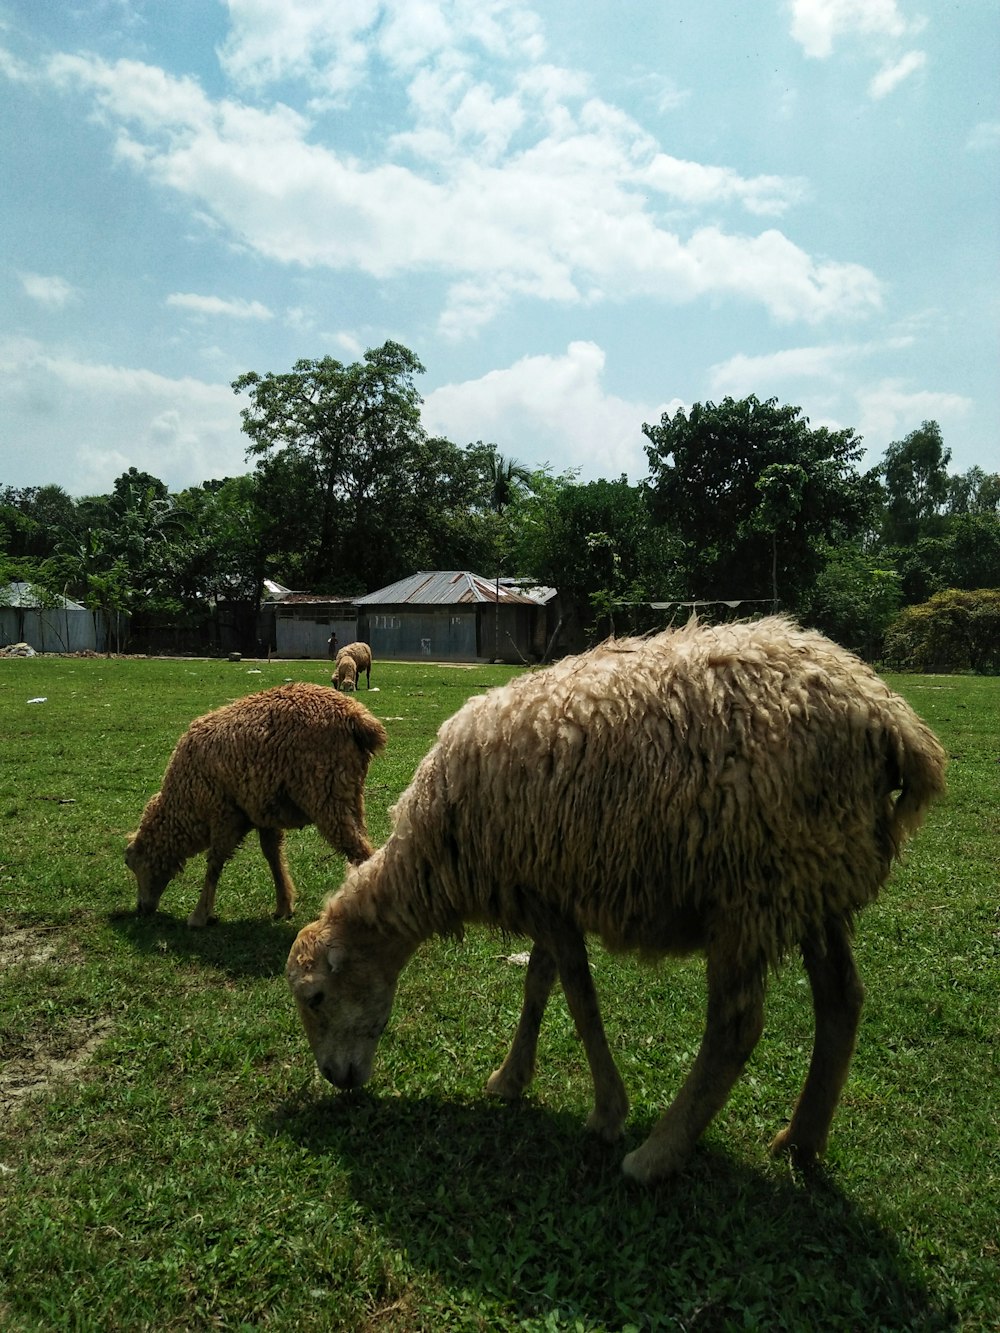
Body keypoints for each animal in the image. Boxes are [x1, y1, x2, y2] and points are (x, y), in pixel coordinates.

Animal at [129, 677, 386, 927]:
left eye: (131, 863)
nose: (141, 909)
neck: (185, 804)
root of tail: (357, 716)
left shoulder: (224, 813)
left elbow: (215, 863)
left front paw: (199, 915)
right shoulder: (261, 811)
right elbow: (272, 854)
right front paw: (284, 905)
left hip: (326, 796)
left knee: (360, 852)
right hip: (349, 796)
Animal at [288, 618, 949, 1183]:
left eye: (316, 997)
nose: (335, 1078)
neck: (436, 855)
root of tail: (888, 716)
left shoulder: (548, 896)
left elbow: (581, 1004)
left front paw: (608, 1114)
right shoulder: (545, 892)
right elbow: (538, 988)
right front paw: (510, 1079)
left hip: (751, 887)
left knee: (736, 1027)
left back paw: (656, 1156)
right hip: (815, 875)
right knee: (842, 998)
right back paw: (801, 1142)